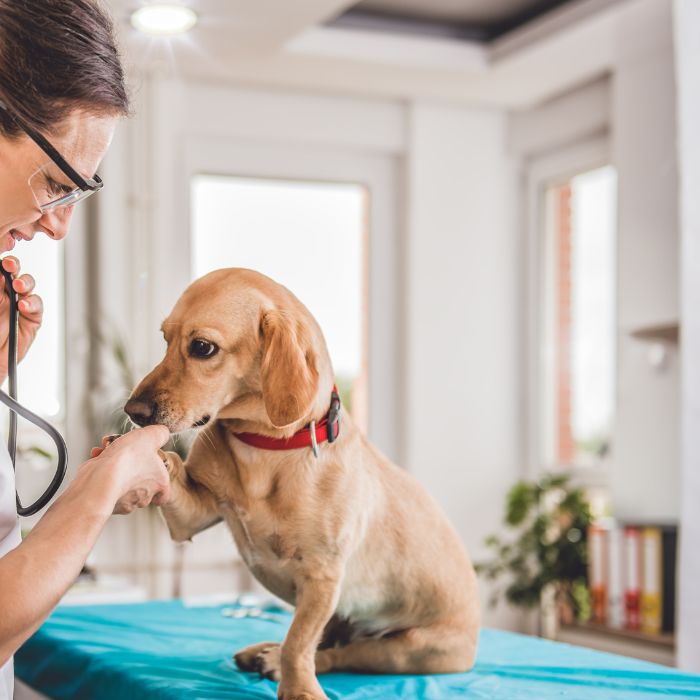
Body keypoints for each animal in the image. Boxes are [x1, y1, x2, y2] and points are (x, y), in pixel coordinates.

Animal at [124, 270, 482, 700]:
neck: (263, 447)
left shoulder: (321, 576)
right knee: (325, 642)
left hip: (409, 649)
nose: (132, 411)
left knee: (338, 653)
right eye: (165, 339)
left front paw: (298, 688)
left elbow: (299, 644)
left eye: (202, 347)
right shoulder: (191, 518)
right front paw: (140, 458)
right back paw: (265, 651)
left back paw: (276, 661)